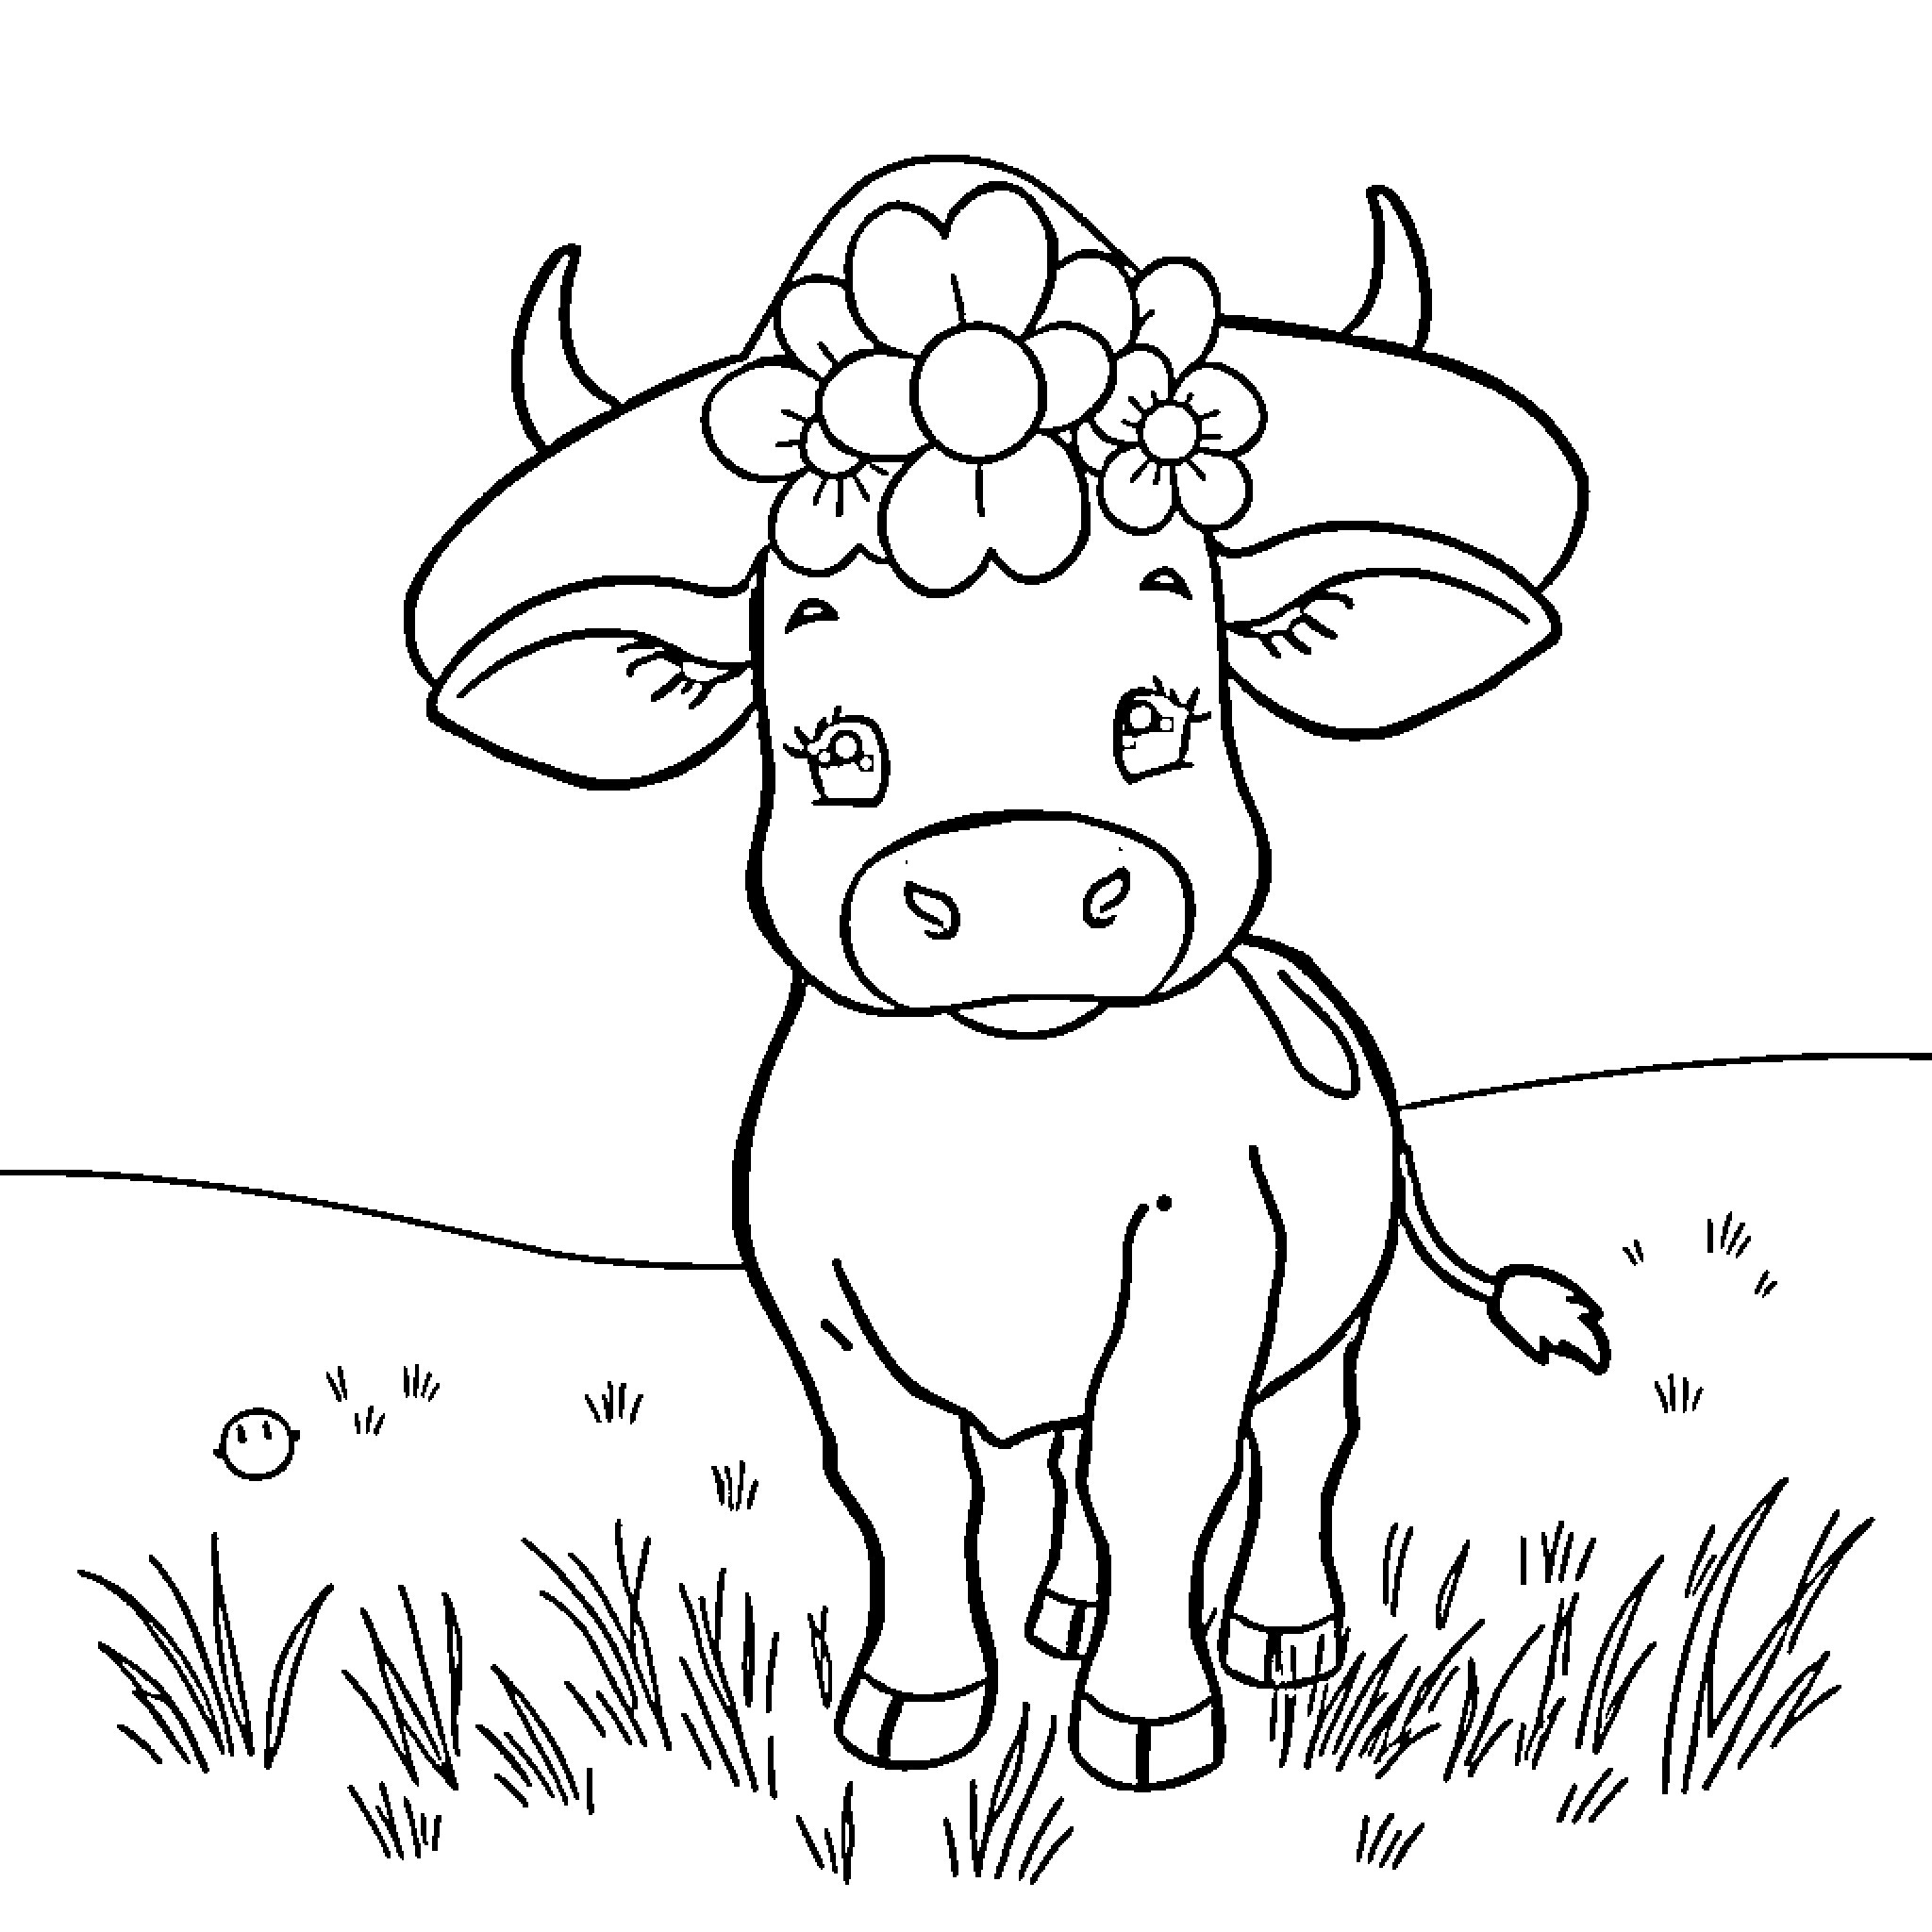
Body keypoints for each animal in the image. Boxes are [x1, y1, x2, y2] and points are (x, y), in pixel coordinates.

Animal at [404, 158, 1610, 1792]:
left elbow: (1165, 1467)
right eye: (831, 740)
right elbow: (908, 1490)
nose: (1017, 882)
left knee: (1298, 1444)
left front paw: (1146, 1718)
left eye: (1164, 710)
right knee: (1054, 1470)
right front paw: (915, 1705)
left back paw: (1281, 1634)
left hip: (1330, 1305)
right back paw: (1063, 1610)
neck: (1006, 1127)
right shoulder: (827, 1305)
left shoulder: (1198, 1269)